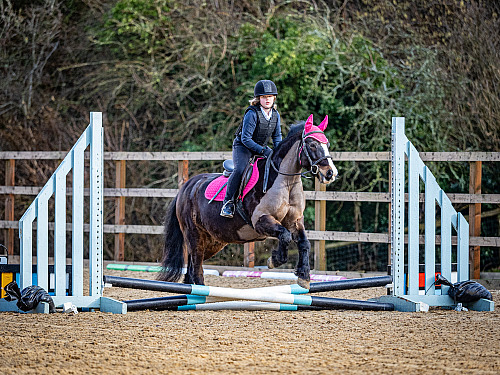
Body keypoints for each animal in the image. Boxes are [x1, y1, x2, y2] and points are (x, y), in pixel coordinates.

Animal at [159, 114, 340, 288]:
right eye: (312, 145)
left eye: (327, 144)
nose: (331, 173)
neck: (286, 182)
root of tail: (187, 187)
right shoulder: (261, 221)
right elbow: (285, 235)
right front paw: (274, 260)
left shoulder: (294, 221)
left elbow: (304, 243)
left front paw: (303, 276)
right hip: (195, 236)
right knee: (196, 267)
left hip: (213, 241)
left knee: (192, 267)